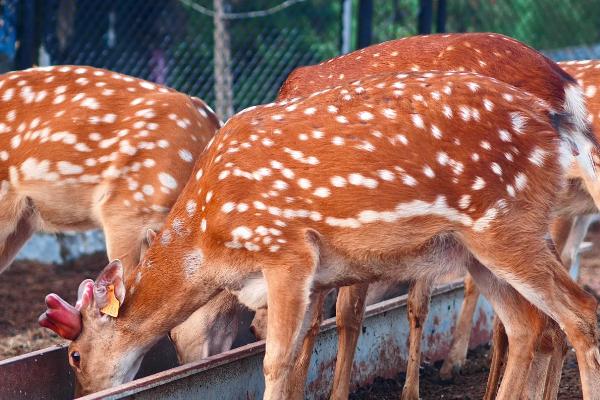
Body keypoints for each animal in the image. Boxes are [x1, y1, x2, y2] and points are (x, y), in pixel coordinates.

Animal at [39, 72, 600, 400]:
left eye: (74, 355)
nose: (84, 394)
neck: (208, 240)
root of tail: (559, 125)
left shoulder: (286, 250)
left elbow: (276, 362)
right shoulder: (308, 277)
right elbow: (301, 357)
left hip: (504, 224)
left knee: (580, 312)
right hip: (477, 249)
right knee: (529, 326)